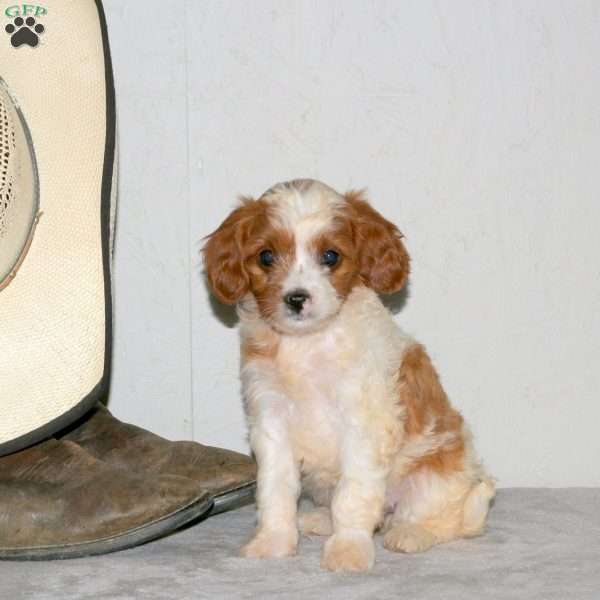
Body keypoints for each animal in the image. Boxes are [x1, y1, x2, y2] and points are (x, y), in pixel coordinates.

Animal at [204, 178, 494, 572]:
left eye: (330, 257)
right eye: (266, 256)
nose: (296, 298)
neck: (307, 344)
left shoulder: (364, 423)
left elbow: (353, 495)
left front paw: (348, 550)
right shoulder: (271, 419)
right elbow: (275, 489)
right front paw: (273, 542)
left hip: (435, 477)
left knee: (440, 519)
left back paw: (410, 534)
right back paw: (320, 520)